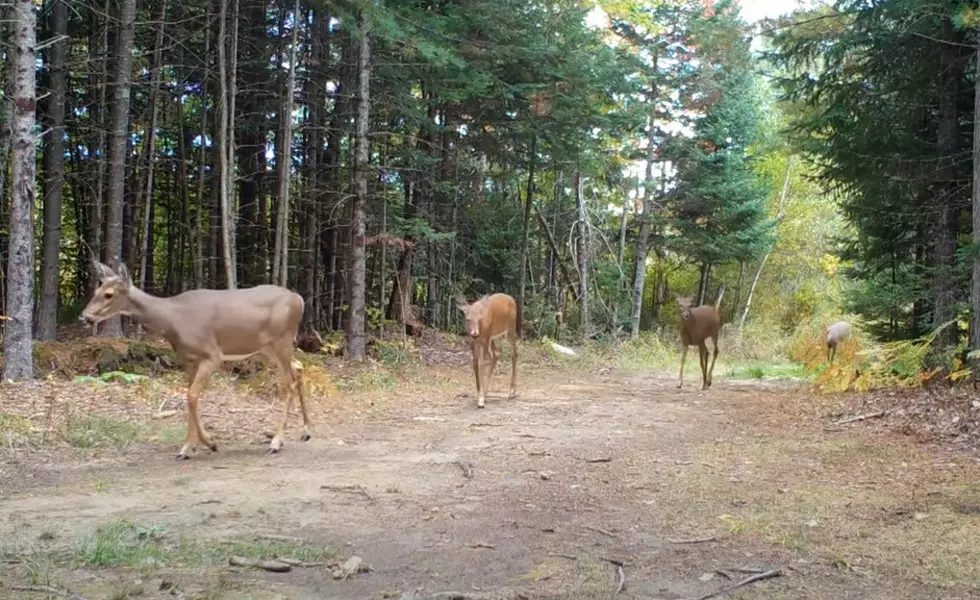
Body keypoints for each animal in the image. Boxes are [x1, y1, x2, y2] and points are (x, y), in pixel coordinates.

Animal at [80, 260, 312, 462]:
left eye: (109, 294)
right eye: (96, 292)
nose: (84, 317)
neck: (172, 319)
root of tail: (299, 299)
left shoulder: (212, 355)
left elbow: (192, 396)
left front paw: (210, 444)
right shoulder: (188, 360)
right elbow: (190, 396)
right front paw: (187, 448)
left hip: (281, 340)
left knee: (288, 383)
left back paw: (276, 441)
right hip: (266, 349)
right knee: (299, 368)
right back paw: (306, 431)